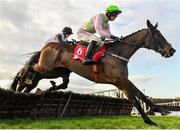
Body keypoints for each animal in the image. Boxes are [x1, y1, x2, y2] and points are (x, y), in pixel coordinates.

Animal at [10, 19, 176, 125]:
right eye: (157, 35)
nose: (171, 50)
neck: (118, 54)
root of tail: (47, 46)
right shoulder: (120, 80)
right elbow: (136, 97)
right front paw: (154, 116)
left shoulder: (121, 81)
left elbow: (137, 95)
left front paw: (155, 114)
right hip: (46, 67)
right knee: (30, 68)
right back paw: (21, 82)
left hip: (57, 71)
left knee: (56, 81)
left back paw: (38, 88)